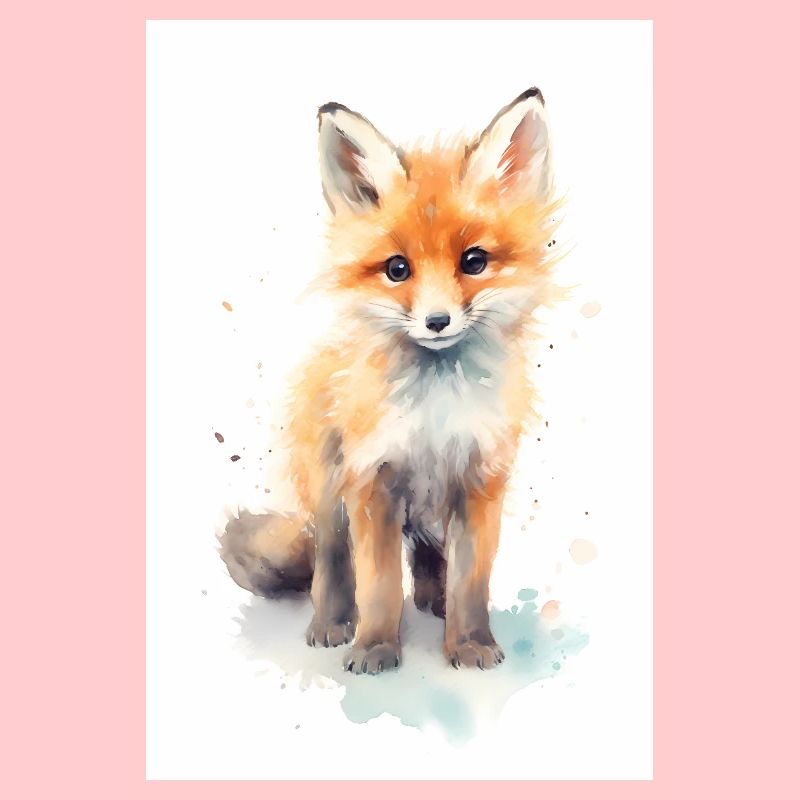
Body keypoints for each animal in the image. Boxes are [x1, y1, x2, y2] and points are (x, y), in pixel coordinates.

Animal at [219, 87, 564, 674]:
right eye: (397, 269)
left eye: (474, 261)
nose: (437, 322)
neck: (436, 412)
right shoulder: (371, 482)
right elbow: (377, 584)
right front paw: (376, 646)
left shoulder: (479, 478)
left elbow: (470, 580)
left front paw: (468, 642)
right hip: (330, 498)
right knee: (332, 567)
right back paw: (333, 623)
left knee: (428, 554)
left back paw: (431, 601)